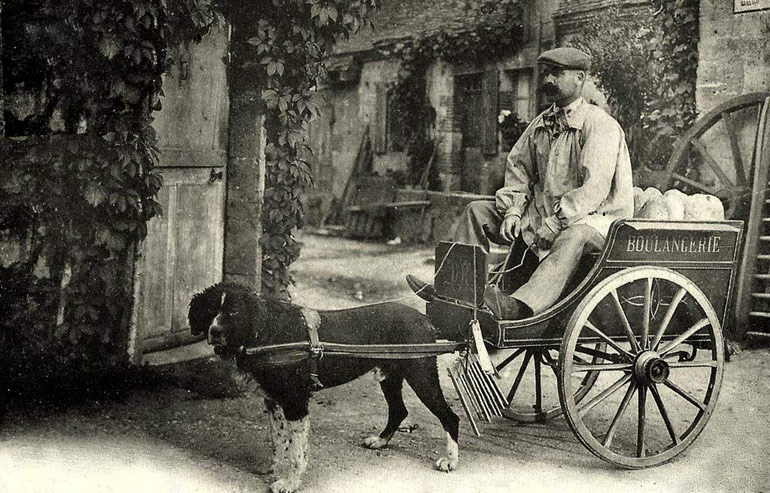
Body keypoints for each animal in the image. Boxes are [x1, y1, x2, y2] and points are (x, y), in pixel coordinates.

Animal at [189, 282, 460, 490]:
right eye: (210, 309)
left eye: (234, 312)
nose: (215, 331)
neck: (268, 332)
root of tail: (425, 319)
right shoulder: (274, 400)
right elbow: (278, 441)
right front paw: (275, 468)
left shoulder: (296, 403)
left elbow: (297, 451)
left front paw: (289, 483)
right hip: (390, 376)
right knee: (399, 410)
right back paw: (380, 441)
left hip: (421, 376)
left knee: (449, 416)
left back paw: (450, 461)